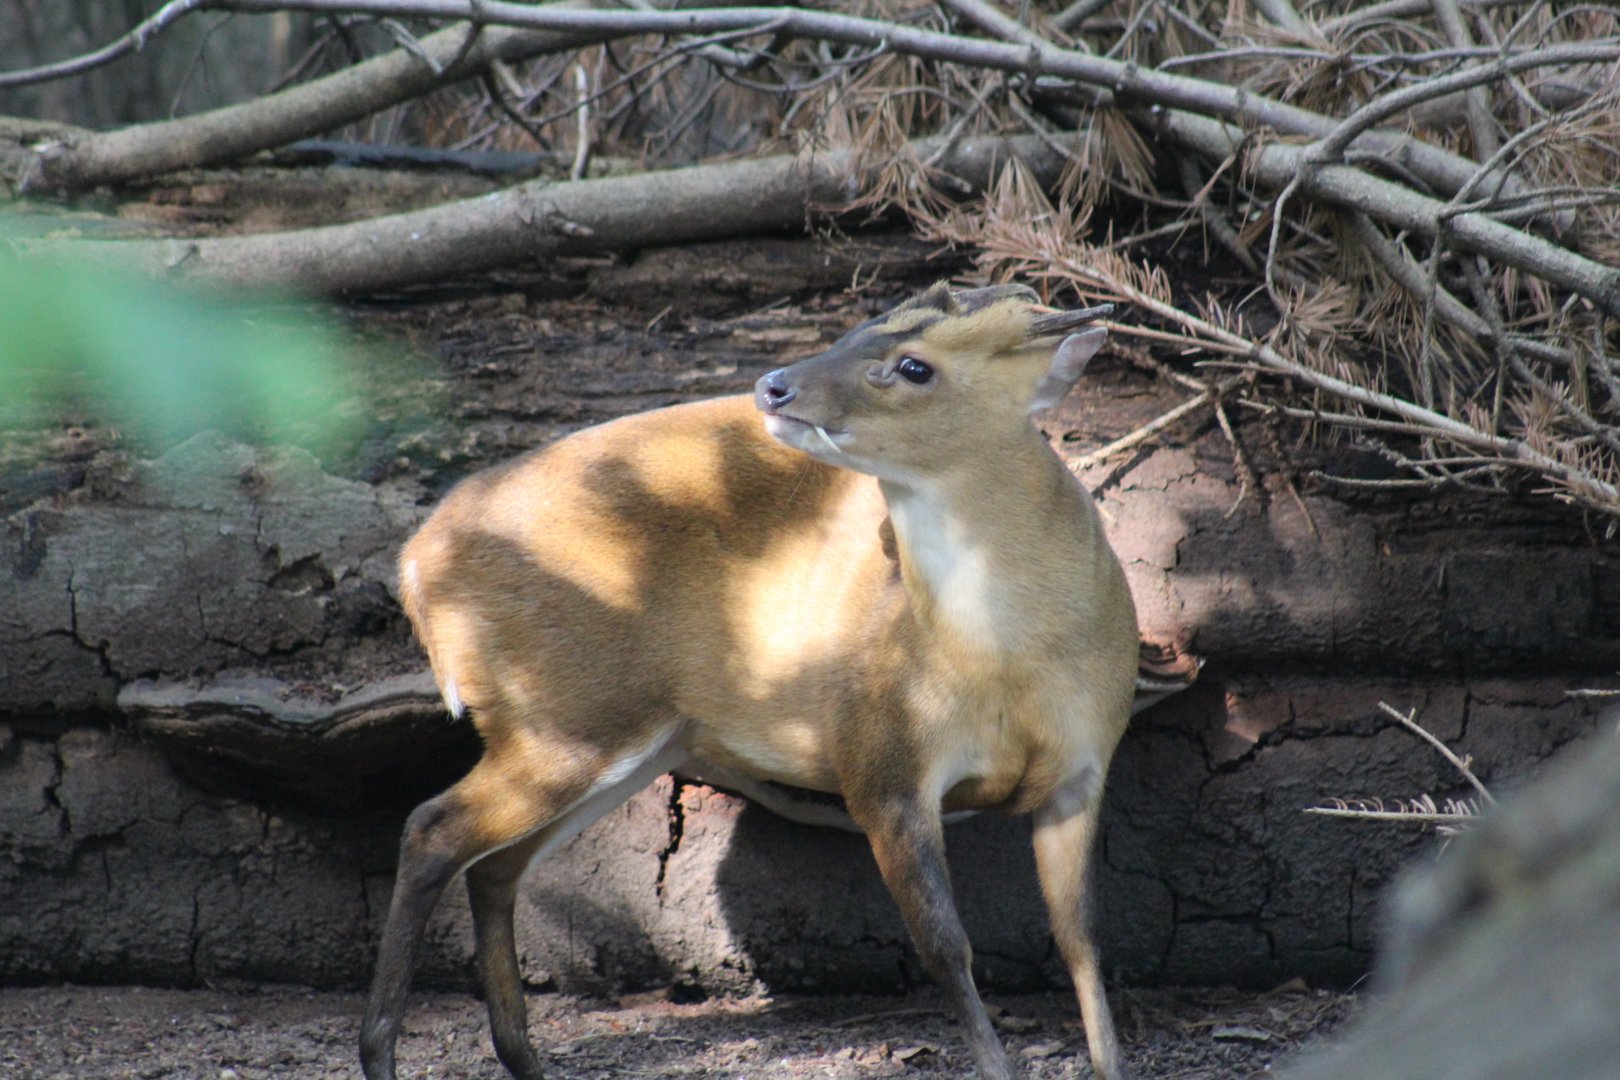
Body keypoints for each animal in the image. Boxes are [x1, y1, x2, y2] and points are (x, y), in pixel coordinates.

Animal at [360, 282, 1141, 1080]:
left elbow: (1082, 941)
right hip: (563, 713)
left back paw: (520, 1059)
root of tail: (417, 559)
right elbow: (947, 948)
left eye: (913, 365)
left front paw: (1110, 1063)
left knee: (494, 867)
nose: (773, 385)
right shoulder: (882, 765)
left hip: (628, 739)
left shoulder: (1085, 768)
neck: (1004, 663)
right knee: (432, 829)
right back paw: (382, 1054)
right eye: (862, 325)